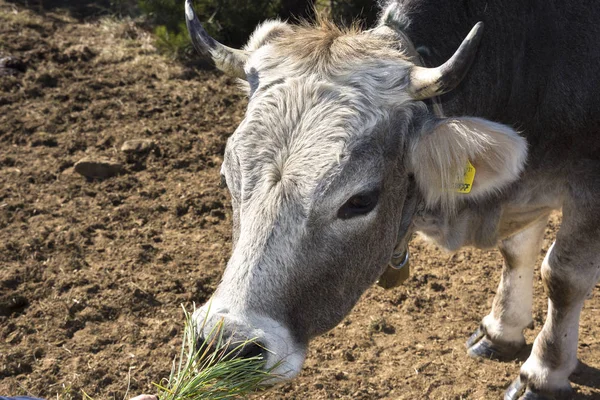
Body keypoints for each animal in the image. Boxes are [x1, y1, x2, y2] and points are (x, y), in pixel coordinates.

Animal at [182, 1, 600, 398]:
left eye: (361, 200)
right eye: (227, 177)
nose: (225, 344)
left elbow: (563, 278)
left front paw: (543, 374)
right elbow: (516, 250)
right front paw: (501, 330)